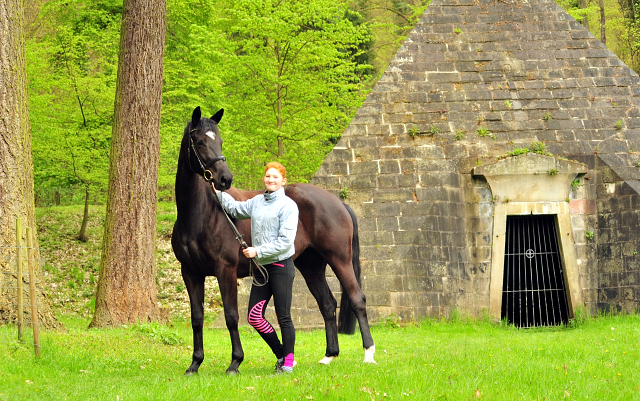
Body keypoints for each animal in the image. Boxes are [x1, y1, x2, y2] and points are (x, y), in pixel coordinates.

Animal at [172, 107, 378, 376]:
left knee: (356, 299)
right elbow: (197, 318)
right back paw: (328, 356)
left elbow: (231, 315)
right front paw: (195, 364)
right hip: (311, 266)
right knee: (327, 303)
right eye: (199, 142)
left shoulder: (224, 270)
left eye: (220, 141)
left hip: (339, 259)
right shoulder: (190, 273)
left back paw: (369, 354)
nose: (225, 179)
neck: (200, 214)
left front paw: (235, 362)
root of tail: (337, 202)